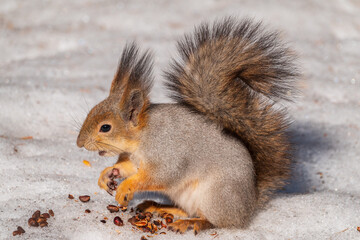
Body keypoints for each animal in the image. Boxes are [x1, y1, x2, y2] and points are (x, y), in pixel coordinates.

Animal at [77, 17, 300, 234]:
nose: (79, 143)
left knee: (216, 222)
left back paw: (191, 223)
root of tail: (249, 205)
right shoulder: (134, 159)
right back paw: (159, 208)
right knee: (188, 210)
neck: (142, 137)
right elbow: (127, 168)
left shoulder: (167, 154)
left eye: (105, 127)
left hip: (215, 196)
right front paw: (108, 174)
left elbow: (158, 175)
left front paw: (125, 187)